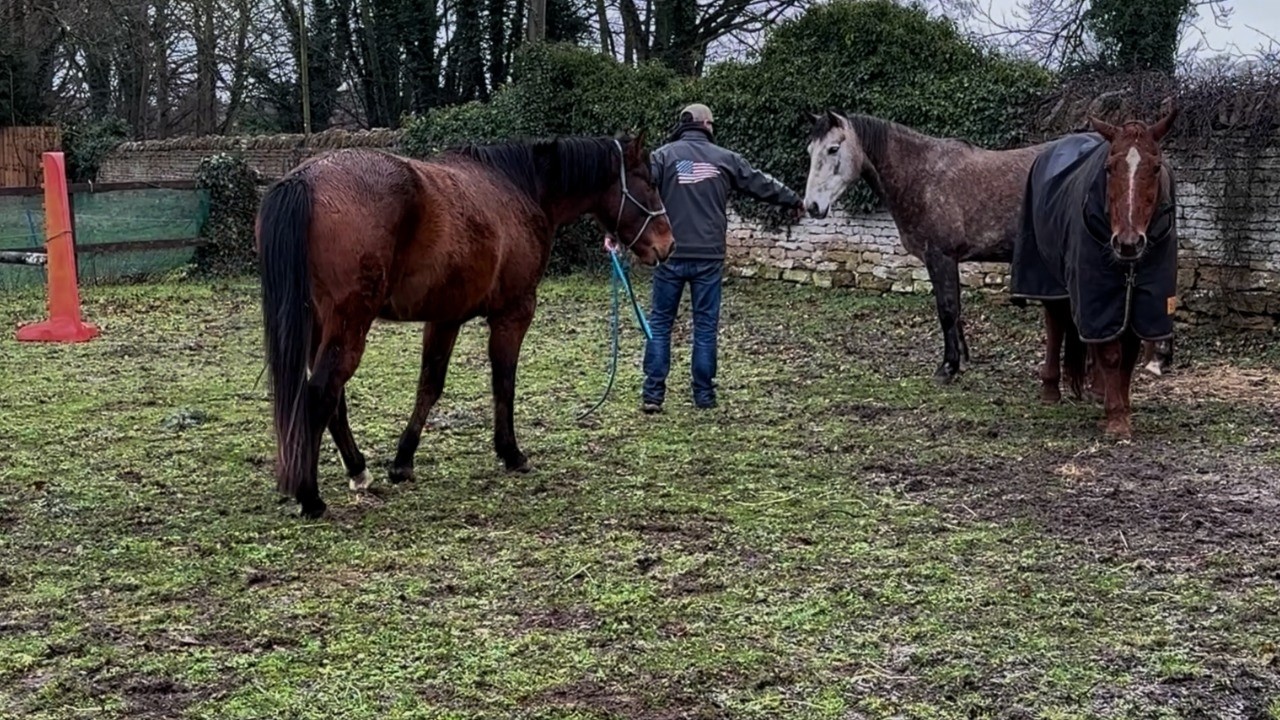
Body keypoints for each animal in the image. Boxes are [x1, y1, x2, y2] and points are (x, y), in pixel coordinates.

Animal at [255, 133, 675, 518]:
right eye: (649, 182)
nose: (667, 244)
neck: (518, 187)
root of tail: (305, 180)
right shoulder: (513, 313)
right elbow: (503, 382)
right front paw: (511, 453)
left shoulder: (445, 317)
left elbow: (429, 386)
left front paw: (403, 461)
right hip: (349, 326)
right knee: (320, 396)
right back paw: (310, 497)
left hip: (322, 328)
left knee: (332, 399)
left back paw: (358, 470)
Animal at [802, 110, 1059, 383]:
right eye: (810, 150)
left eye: (833, 148)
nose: (812, 206)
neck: (922, 177)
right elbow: (956, 310)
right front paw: (961, 361)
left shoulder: (940, 257)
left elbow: (947, 310)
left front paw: (948, 367)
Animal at [1011, 102, 1178, 439]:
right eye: (1109, 168)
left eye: (1156, 167)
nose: (1128, 243)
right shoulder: (1094, 292)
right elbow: (1111, 354)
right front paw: (1116, 418)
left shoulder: (1138, 300)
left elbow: (1127, 354)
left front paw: (1119, 406)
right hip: (1051, 281)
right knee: (1055, 325)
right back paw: (1051, 389)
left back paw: (1098, 389)